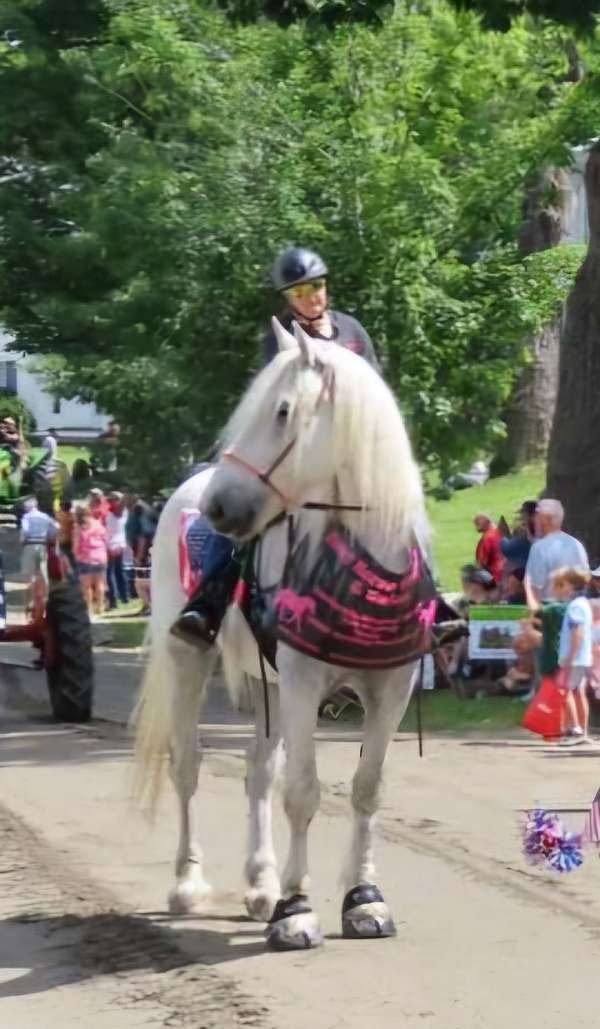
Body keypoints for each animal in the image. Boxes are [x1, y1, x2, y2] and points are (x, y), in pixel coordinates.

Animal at [133, 318, 430, 946]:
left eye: (284, 411)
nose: (220, 507)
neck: (358, 571)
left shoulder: (390, 689)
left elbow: (367, 788)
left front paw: (364, 900)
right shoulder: (301, 684)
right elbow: (302, 792)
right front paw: (296, 909)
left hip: (264, 682)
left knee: (257, 772)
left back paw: (260, 885)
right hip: (188, 662)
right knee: (188, 765)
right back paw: (189, 884)